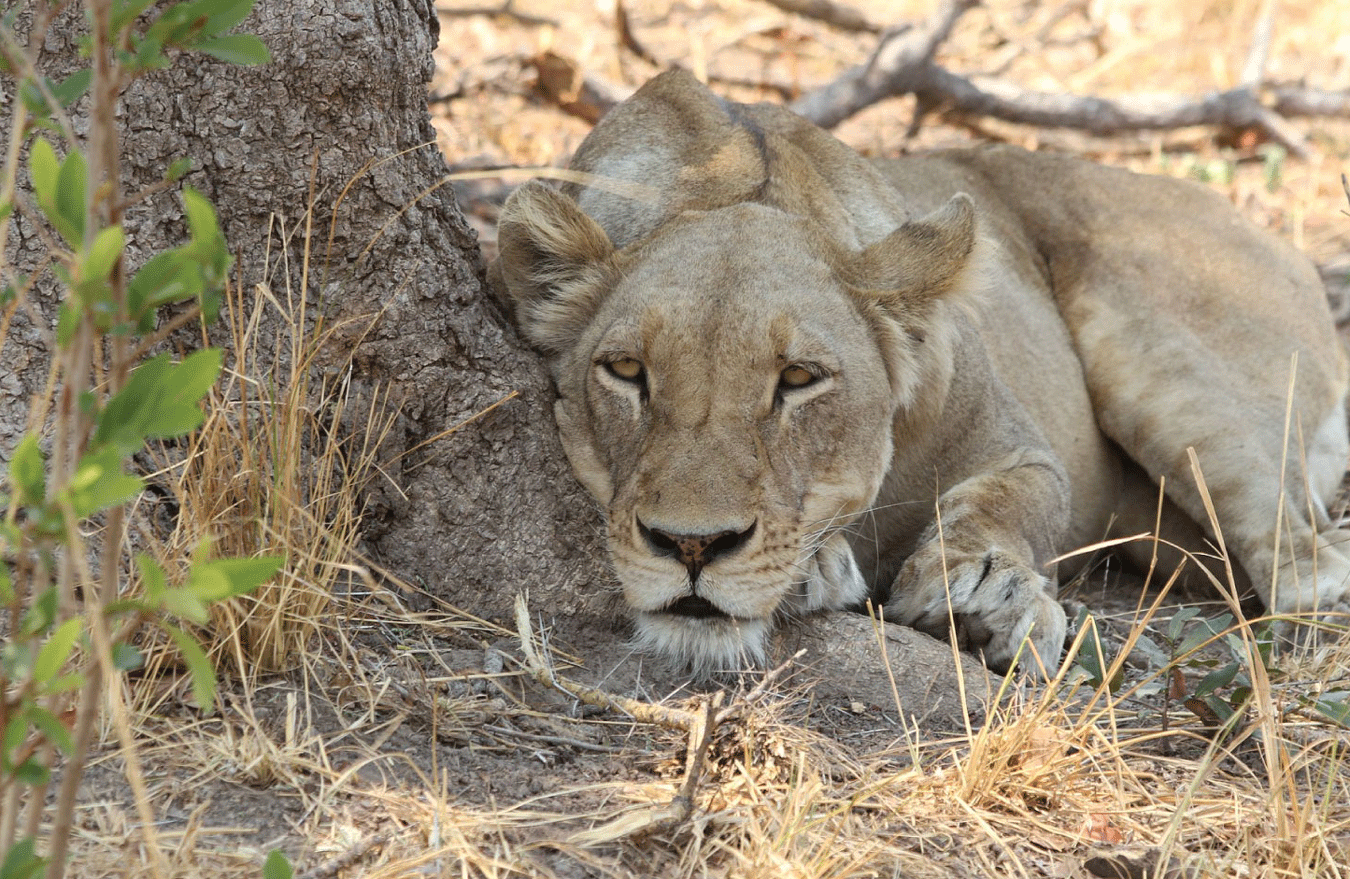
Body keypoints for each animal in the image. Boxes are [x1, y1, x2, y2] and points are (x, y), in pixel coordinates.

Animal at [492, 69, 1350, 675]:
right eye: (626, 370)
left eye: (799, 379)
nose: (692, 547)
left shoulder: (1019, 443)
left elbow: (1017, 499)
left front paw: (989, 590)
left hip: (1166, 368)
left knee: (1311, 565)